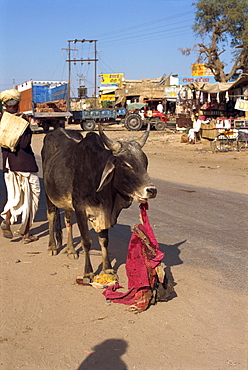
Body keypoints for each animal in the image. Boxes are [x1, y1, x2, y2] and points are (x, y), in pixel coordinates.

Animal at [41, 124, 157, 284]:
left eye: (145, 162)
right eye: (126, 165)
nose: (151, 190)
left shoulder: (103, 213)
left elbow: (104, 241)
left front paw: (107, 269)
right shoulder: (80, 209)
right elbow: (86, 241)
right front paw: (88, 273)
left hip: (68, 203)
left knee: (68, 219)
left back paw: (71, 250)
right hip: (49, 194)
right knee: (51, 216)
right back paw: (52, 247)